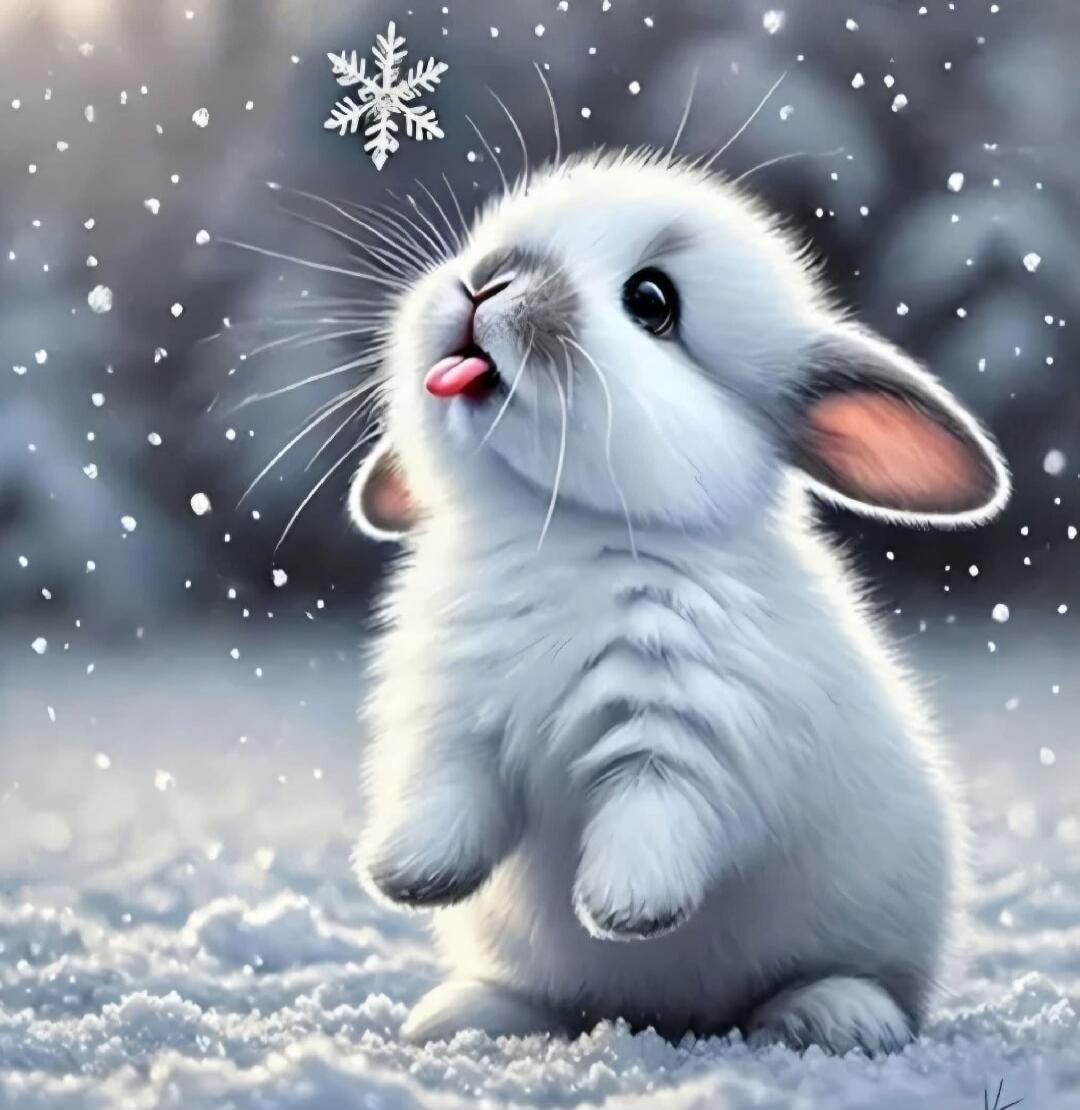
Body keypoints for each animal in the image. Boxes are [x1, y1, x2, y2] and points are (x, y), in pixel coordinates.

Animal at [346, 148, 1009, 1055]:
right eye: (484, 245)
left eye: (653, 302)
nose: (485, 282)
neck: (564, 527)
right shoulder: (451, 724)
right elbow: (447, 802)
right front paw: (406, 878)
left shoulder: (688, 735)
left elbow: (654, 822)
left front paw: (622, 911)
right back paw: (462, 1014)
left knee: (846, 984)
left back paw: (834, 1017)